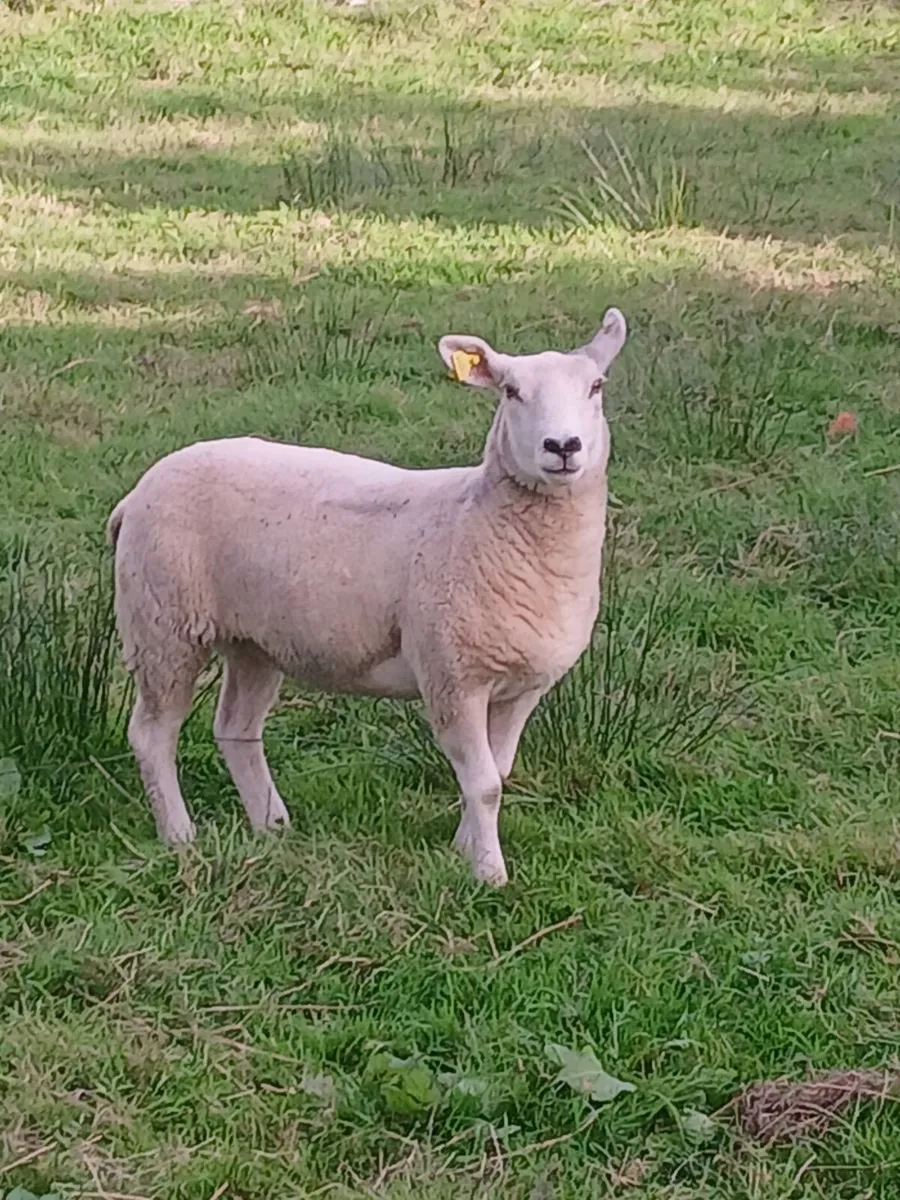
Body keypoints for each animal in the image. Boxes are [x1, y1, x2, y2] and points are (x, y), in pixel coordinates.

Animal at [107, 308, 627, 885]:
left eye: (597, 386)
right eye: (511, 391)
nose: (563, 447)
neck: (477, 518)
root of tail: (137, 492)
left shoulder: (522, 687)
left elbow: (499, 772)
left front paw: (464, 847)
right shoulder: (452, 676)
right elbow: (485, 784)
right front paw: (489, 873)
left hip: (254, 640)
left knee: (236, 729)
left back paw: (271, 825)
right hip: (162, 623)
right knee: (152, 734)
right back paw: (179, 835)